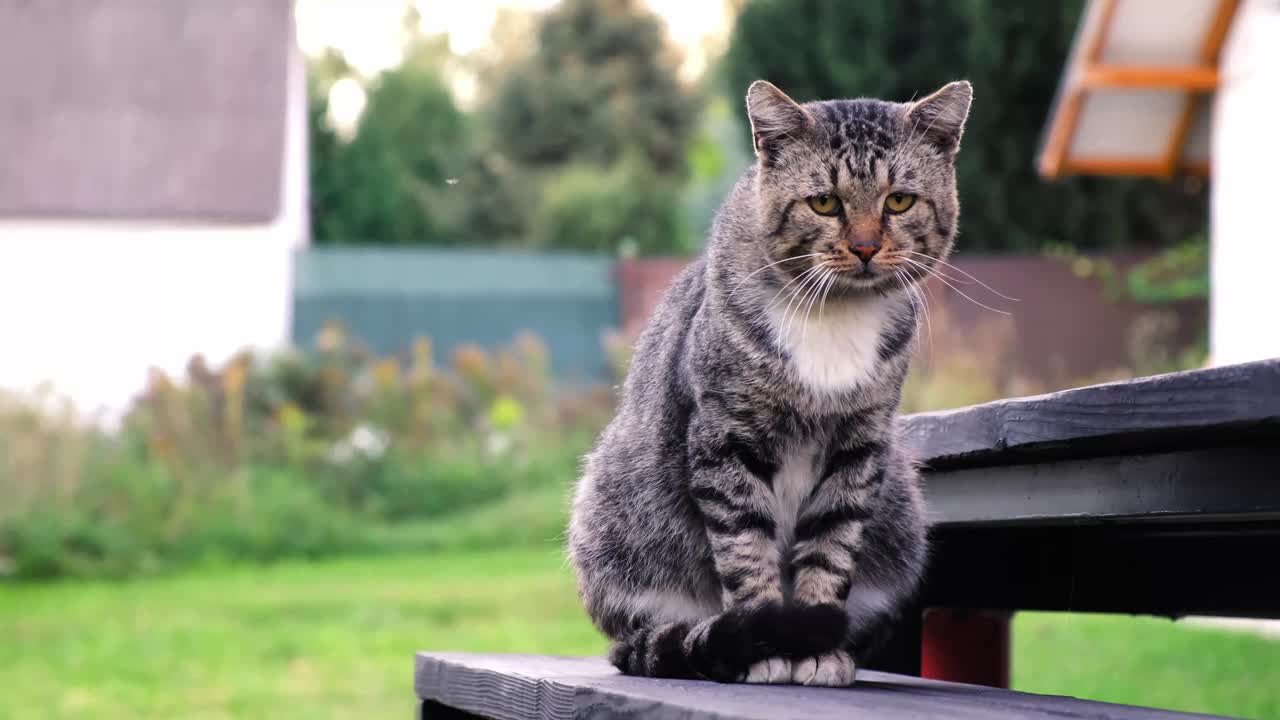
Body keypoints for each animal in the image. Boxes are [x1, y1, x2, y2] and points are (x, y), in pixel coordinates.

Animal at [568, 77, 967, 681]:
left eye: (899, 200)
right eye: (824, 202)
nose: (866, 247)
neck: (835, 316)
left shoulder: (860, 445)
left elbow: (832, 547)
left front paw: (815, 644)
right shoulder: (724, 437)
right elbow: (744, 548)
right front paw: (767, 642)